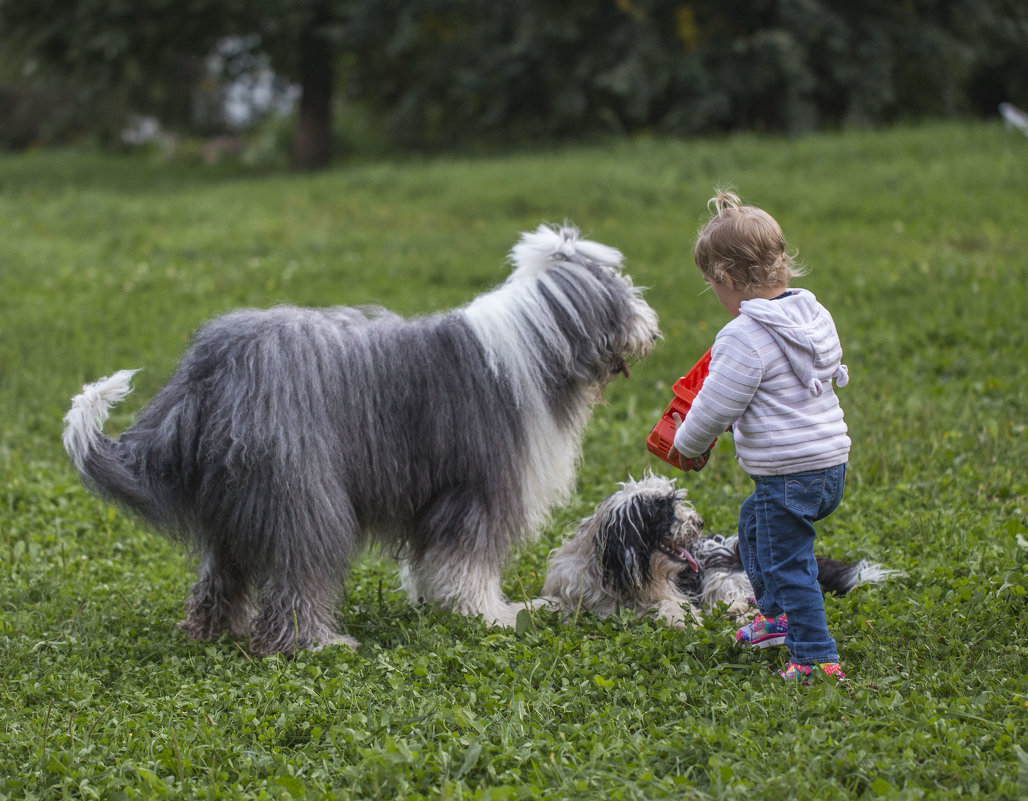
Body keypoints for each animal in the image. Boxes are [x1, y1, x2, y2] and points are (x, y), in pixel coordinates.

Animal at [64, 225, 657, 658]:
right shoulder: (475, 490)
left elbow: (432, 562)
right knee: (299, 574)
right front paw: (492, 615)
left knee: (221, 573)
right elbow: (468, 562)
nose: (651, 329)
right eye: (624, 293)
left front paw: (438, 603)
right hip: (302, 492)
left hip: (234, 502)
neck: (534, 346)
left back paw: (215, 631)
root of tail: (208, 371)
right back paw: (316, 643)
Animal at [542, 472, 896, 629]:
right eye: (663, 510)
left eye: (676, 500)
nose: (698, 522)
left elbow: (673, 608)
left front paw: (681, 619)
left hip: (722, 575)